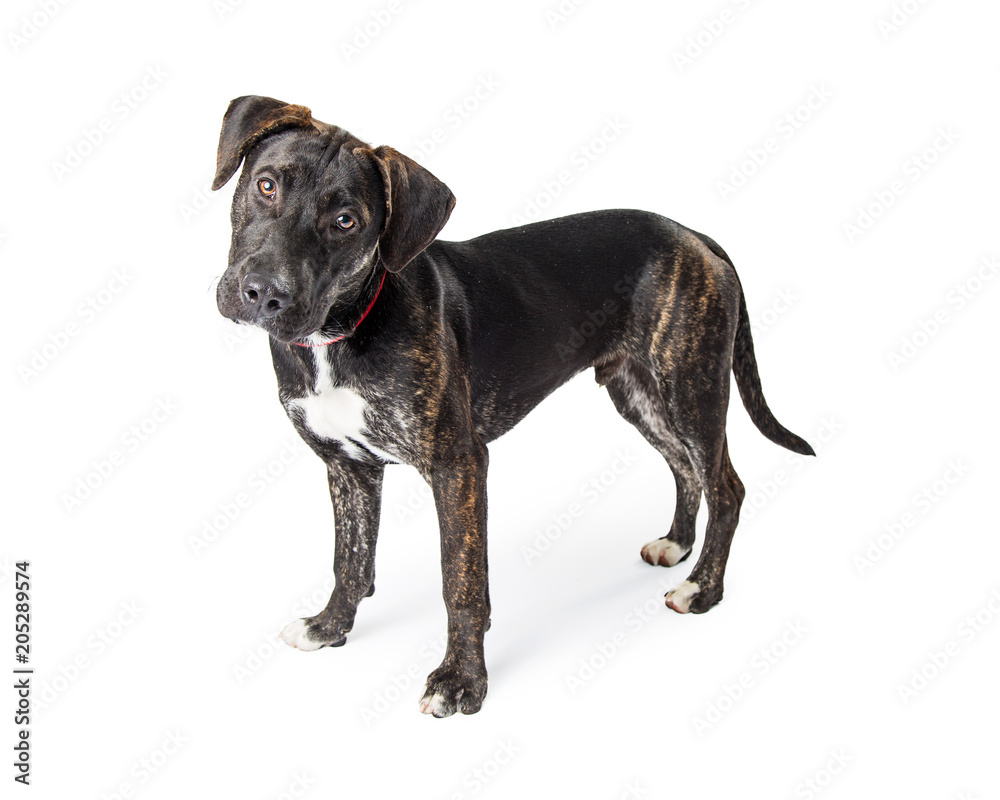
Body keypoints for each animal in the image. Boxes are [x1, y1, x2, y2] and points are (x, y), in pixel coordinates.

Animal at [211, 95, 812, 720]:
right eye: (266, 184)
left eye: (346, 221)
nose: (263, 292)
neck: (344, 328)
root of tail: (695, 234)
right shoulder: (348, 469)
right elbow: (350, 558)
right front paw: (330, 627)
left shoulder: (458, 466)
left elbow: (461, 581)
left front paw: (461, 680)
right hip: (641, 395)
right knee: (683, 467)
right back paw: (677, 543)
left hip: (691, 389)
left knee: (726, 486)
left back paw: (704, 590)